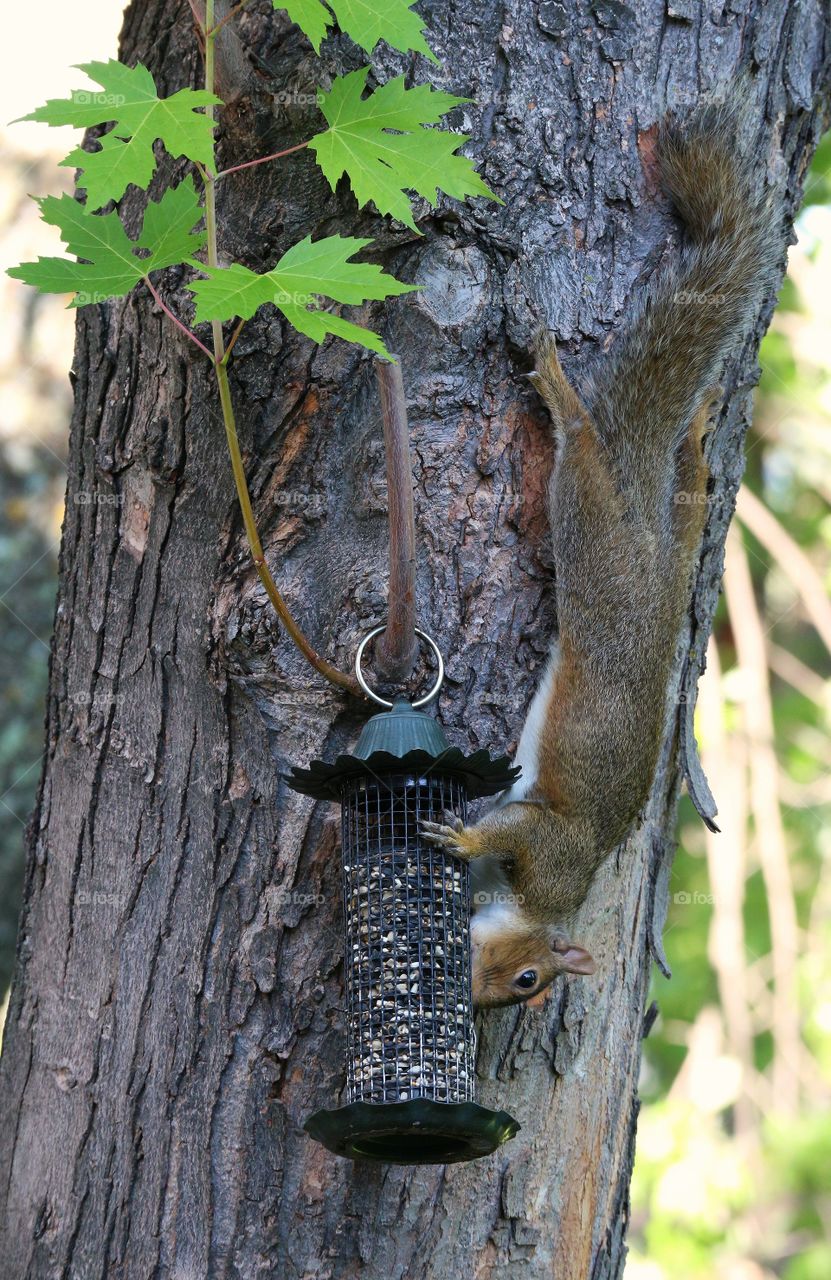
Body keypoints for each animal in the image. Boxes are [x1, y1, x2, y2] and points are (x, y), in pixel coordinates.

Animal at [422, 96, 783, 1007]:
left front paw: (462, 846)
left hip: (643, 542)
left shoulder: (547, 850)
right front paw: (466, 845)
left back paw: (683, 432)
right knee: (585, 443)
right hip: (598, 530)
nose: (477, 1000)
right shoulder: (552, 846)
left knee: (659, 482)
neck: (552, 906)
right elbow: (513, 824)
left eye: (524, 984)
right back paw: (567, 384)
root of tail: (652, 583)